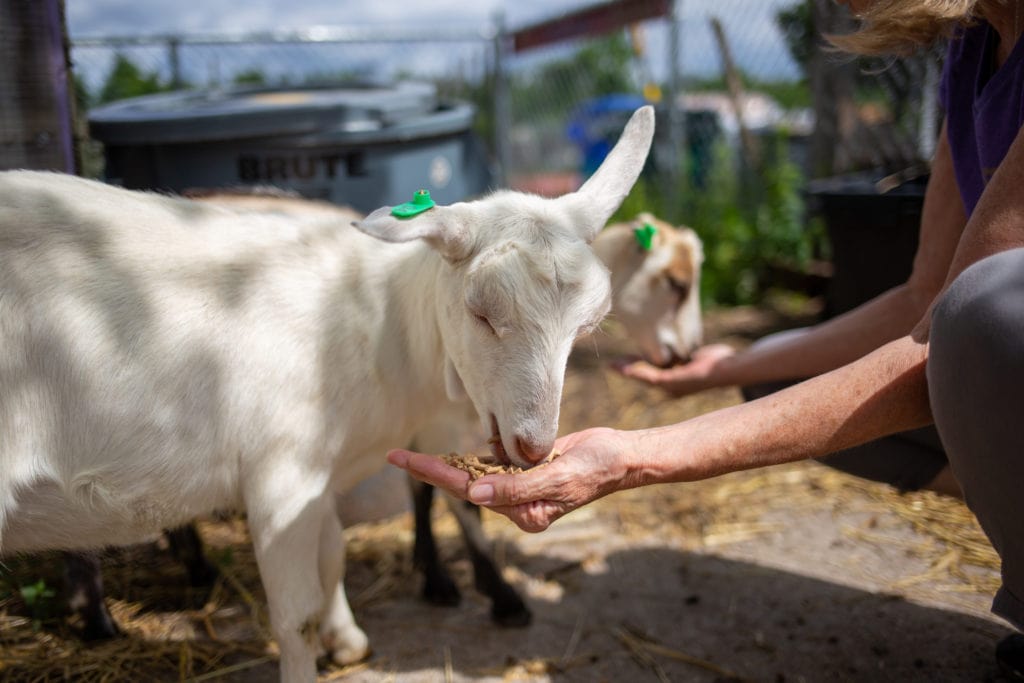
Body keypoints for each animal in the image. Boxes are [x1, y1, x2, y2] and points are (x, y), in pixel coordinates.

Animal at [0, 106, 654, 681]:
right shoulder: (281, 478)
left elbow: (334, 554)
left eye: (586, 327)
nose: (536, 446)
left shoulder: (319, 481)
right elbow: (295, 618)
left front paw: (348, 641)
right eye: (481, 313)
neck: (380, 321)